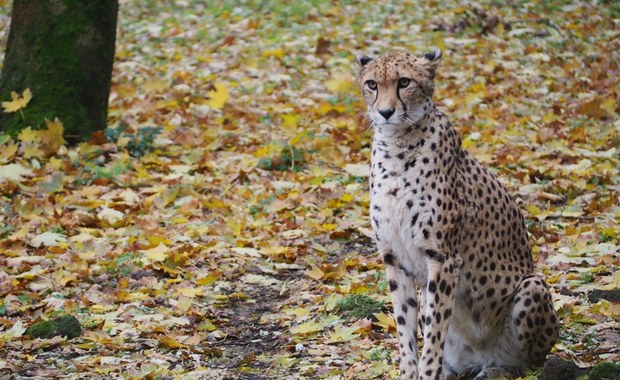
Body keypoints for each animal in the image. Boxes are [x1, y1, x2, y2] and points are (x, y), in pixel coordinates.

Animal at [356, 48, 560, 380]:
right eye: (372, 84)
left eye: (404, 82)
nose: (385, 112)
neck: (397, 144)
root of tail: (481, 357)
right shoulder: (394, 258)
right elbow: (406, 329)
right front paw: (409, 373)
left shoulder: (443, 258)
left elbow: (434, 333)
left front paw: (426, 374)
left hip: (532, 285)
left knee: (529, 362)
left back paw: (497, 370)